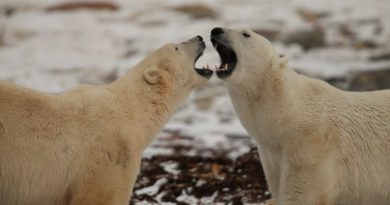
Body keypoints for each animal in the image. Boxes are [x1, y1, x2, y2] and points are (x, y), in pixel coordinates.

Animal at [210, 26, 390, 205]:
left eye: (246, 34)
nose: (216, 30)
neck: (289, 113)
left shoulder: (310, 149)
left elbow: (301, 195)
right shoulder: (272, 157)